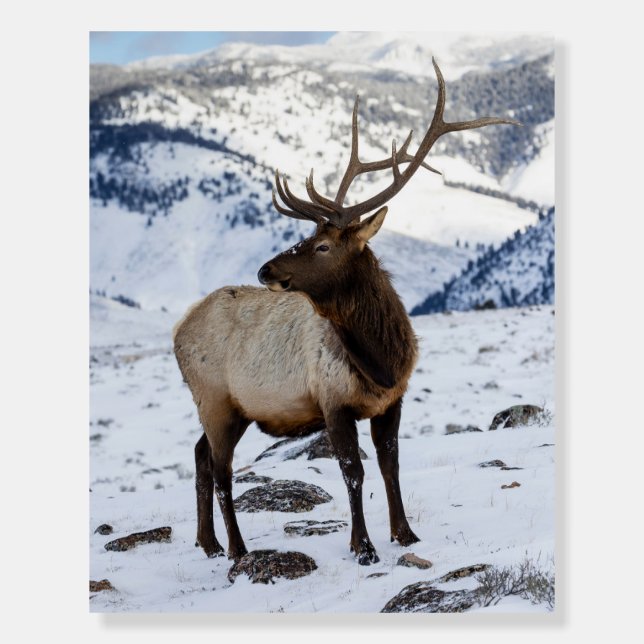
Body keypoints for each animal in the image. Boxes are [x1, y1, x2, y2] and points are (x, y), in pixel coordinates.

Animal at [173, 58, 519, 566]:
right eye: (308, 237)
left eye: (321, 245)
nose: (265, 268)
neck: (381, 359)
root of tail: (177, 329)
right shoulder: (332, 401)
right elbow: (352, 471)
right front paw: (364, 546)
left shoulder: (392, 400)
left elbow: (391, 464)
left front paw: (405, 534)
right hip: (214, 399)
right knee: (220, 470)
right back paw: (238, 549)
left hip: (229, 409)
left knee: (200, 457)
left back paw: (210, 543)